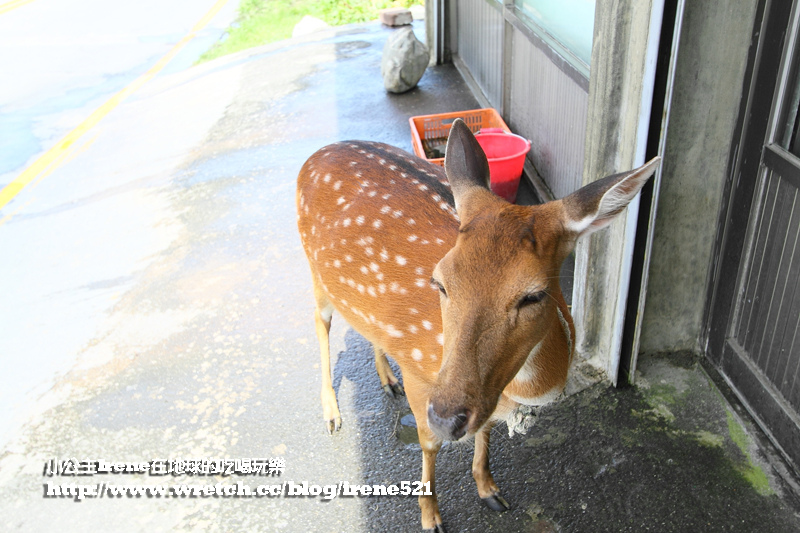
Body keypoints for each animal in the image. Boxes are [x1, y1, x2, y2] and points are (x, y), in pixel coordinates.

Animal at [296, 118, 660, 528]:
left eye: (534, 294)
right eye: (440, 281)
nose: (448, 417)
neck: (518, 392)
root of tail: (319, 151)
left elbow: (485, 430)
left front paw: (490, 491)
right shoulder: (420, 375)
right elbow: (428, 443)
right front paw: (431, 518)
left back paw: (387, 381)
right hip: (314, 270)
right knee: (320, 324)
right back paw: (331, 413)